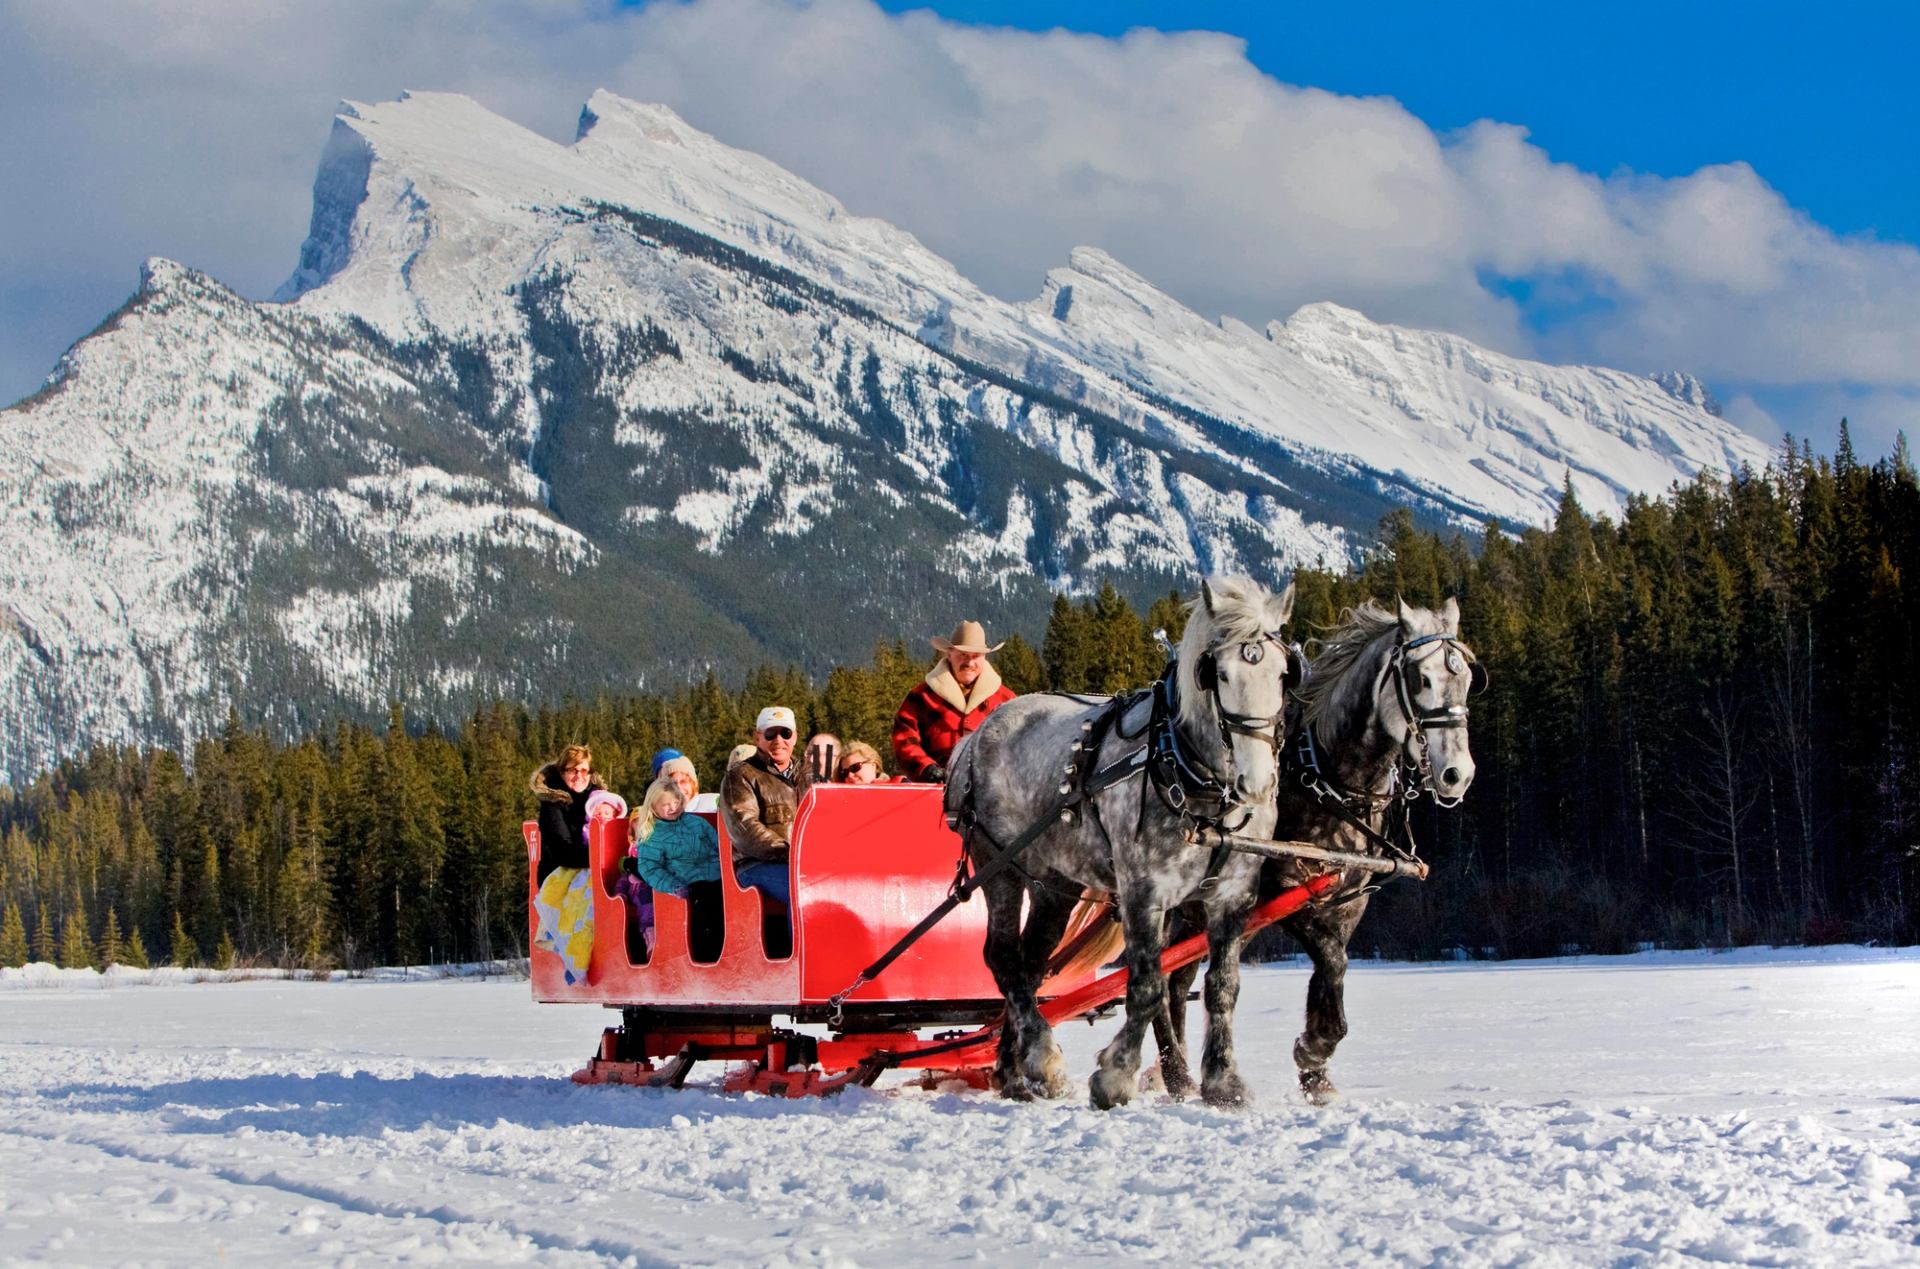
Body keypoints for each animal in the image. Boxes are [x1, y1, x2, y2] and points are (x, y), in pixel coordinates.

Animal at [944, 576, 1298, 1108]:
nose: (1255, 784)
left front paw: (1223, 1080)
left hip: (1055, 884)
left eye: (1283, 674)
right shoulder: (1143, 892)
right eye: (1219, 675)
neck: (1190, 776)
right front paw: (1115, 1076)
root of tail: (974, 737)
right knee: (1003, 958)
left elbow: (1223, 987)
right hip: (999, 868)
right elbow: (1147, 987)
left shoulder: (1233, 896)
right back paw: (1043, 1059)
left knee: (1030, 964)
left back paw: (1015, 1071)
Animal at [1160, 597, 1481, 1104]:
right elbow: (1333, 961)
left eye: (1469, 678)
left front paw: (1317, 1071)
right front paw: (1312, 1050)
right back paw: (1172, 1071)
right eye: (1421, 679)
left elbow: (1329, 976)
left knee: (1177, 984)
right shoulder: (1285, 892)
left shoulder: (1346, 903)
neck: (1329, 777)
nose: (1457, 774)